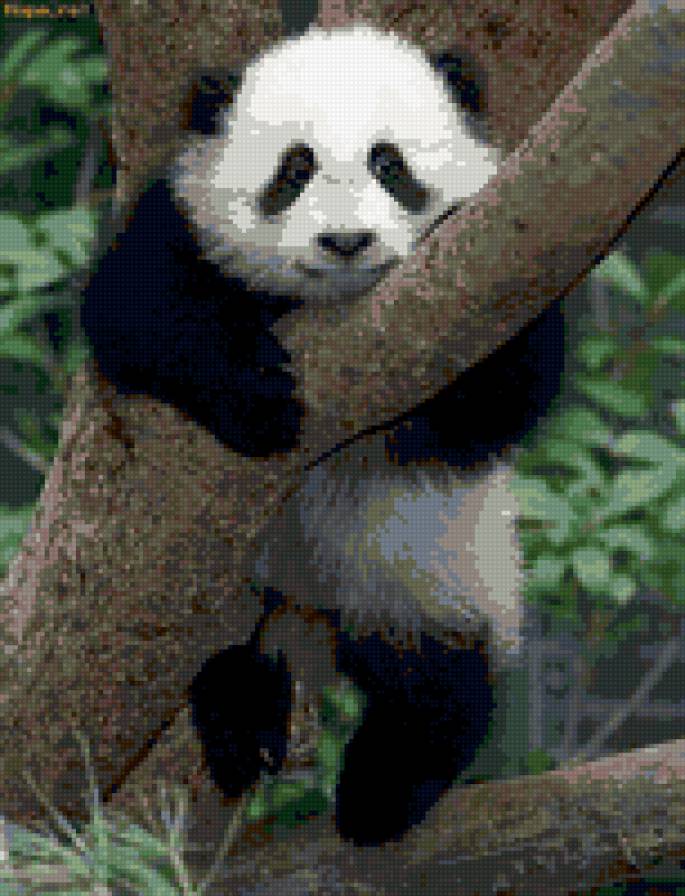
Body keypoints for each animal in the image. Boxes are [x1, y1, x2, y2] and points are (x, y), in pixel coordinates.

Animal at [81, 24, 564, 846]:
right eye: (294, 167)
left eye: (388, 163)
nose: (345, 242)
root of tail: (310, 604)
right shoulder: (183, 222)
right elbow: (134, 307)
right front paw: (256, 397)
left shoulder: (502, 276)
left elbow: (503, 396)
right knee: (229, 652)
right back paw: (241, 715)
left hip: (432, 566)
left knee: (436, 679)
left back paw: (383, 788)